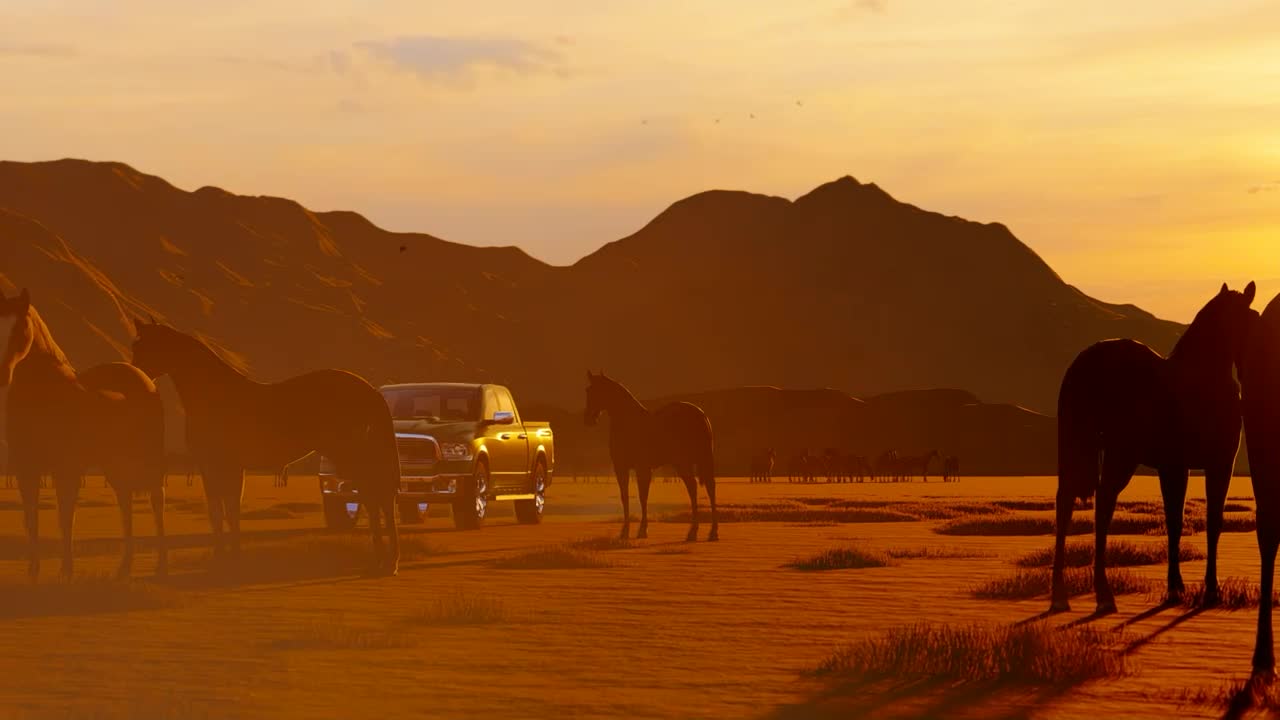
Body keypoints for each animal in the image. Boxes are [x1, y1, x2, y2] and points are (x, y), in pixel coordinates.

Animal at [1, 289, 167, 579]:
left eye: (21, 328)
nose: (1, 374)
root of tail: (146, 379)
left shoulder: (66, 469)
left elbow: (65, 518)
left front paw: (66, 573)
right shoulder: (25, 470)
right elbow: (31, 520)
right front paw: (34, 574)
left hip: (147, 459)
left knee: (156, 499)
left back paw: (160, 566)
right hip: (115, 464)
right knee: (125, 503)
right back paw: (124, 568)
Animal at [130, 320, 401, 575]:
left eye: (144, 346)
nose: (136, 377)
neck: (214, 395)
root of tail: (368, 389)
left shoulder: (220, 466)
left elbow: (225, 512)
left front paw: (226, 559)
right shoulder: (217, 468)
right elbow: (224, 512)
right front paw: (228, 558)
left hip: (352, 455)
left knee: (376, 498)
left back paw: (386, 562)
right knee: (377, 498)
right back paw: (384, 561)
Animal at [584, 371, 717, 541]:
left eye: (598, 391)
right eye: (588, 390)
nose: (588, 418)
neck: (629, 423)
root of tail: (701, 414)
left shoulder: (642, 469)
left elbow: (642, 497)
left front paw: (642, 530)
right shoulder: (621, 468)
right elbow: (625, 497)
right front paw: (625, 531)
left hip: (695, 460)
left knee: (706, 488)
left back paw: (709, 532)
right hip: (688, 463)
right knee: (695, 488)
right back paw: (696, 532)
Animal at [1052, 282, 1257, 615]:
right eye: (1249, 321)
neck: (1203, 379)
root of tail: (1083, 365)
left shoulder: (1178, 467)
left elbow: (1179, 522)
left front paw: (1178, 588)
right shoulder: (1213, 465)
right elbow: (1204, 522)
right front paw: (1206, 590)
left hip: (1084, 448)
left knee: (1068, 503)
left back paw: (1063, 594)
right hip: (1118, 455)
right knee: (1100, 504)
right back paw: (1099, 594)